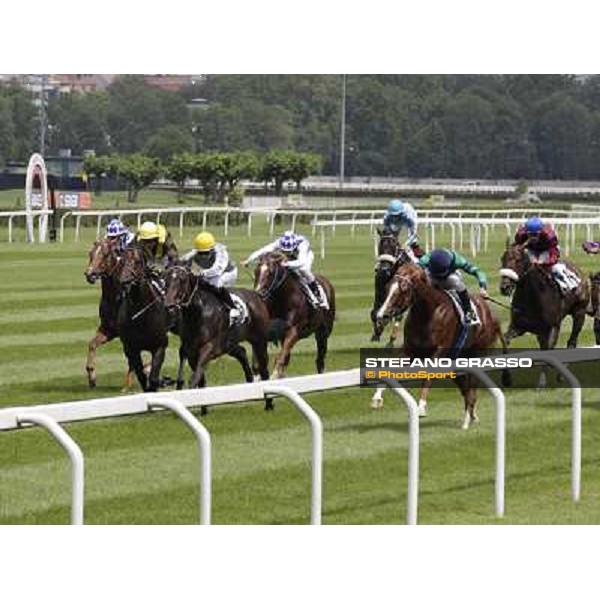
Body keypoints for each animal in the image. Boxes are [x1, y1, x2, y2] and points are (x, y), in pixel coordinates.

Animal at [118, 245, 171, 392]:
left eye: (137, 262)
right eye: (121, 261)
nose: (124, 281)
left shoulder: (160, 346)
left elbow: (153, 378)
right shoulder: (131, 348)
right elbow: (141, 376)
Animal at [372, 253, 508, 432]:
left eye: (404, 289)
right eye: (388, 287)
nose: (381, 315)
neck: (428, 313)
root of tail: (492, 315)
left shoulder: (440, 351)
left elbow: (428, 375)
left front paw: (421, 407)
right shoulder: (409, 350)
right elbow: (390, 368)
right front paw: (377, 397)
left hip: (477, 353)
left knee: (472, 390)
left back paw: (467, 419)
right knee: (465, 390)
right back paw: (471, 416)